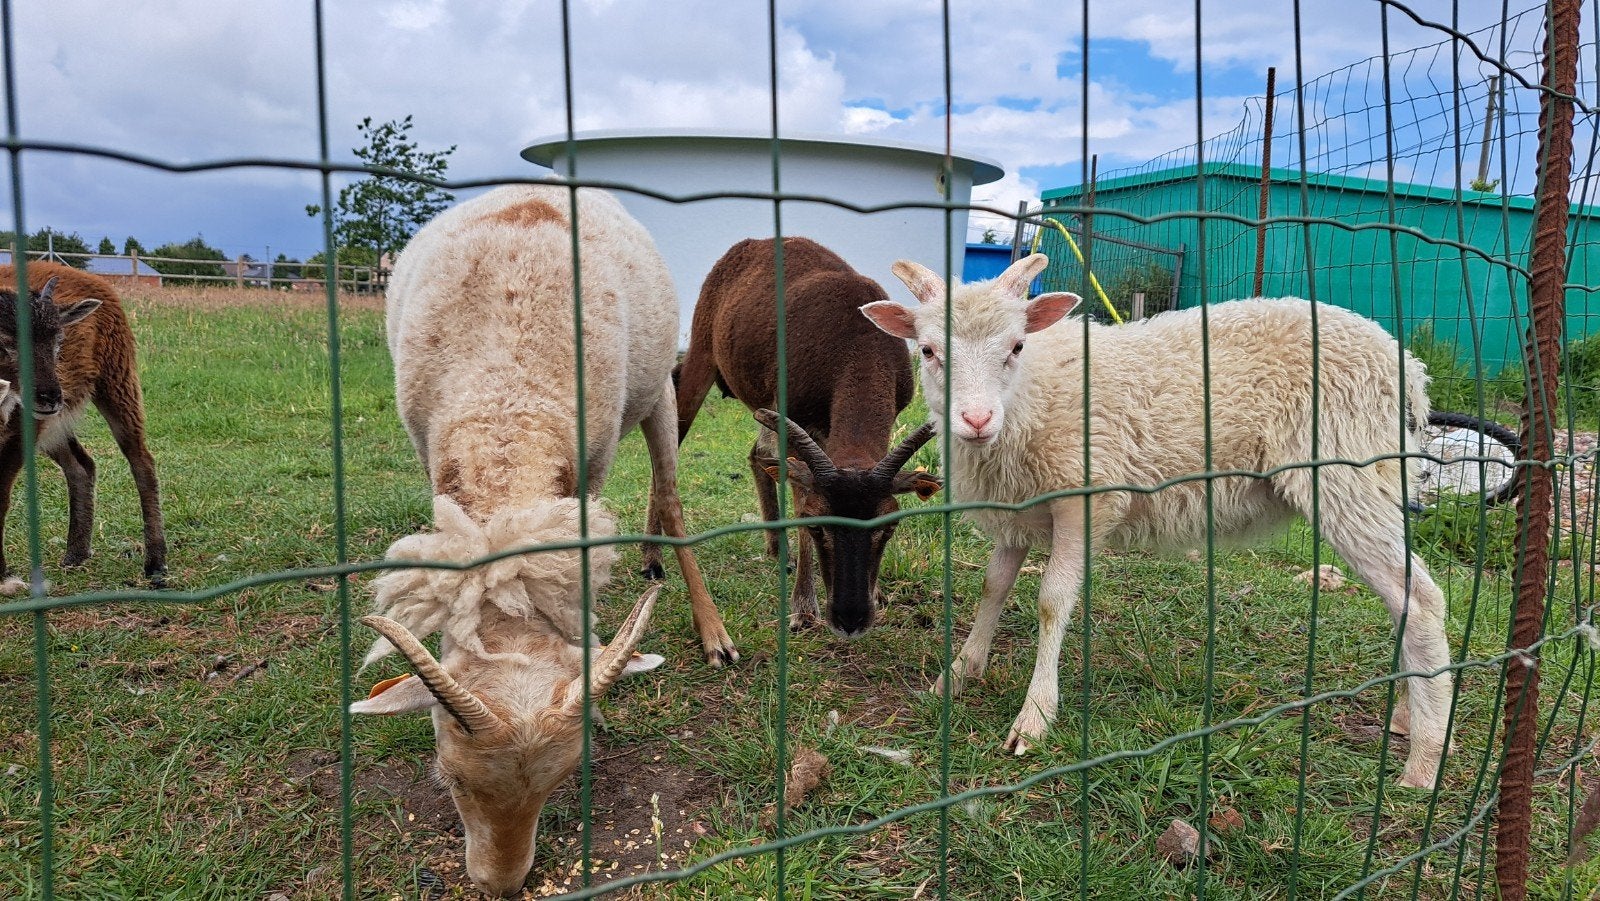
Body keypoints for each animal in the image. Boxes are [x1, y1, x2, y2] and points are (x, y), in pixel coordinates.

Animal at [0, 264, 166, 590]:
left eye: (58, 340)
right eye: (4, 341)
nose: (50, 396)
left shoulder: (19, 429)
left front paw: (4, 579)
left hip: (116, 379)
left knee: (142, 461)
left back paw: (155, 563)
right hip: (54, 424)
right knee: (81, 465)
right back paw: (75, 554)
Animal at [350, 183, 735, 897]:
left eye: (561, 783)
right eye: (450, 779)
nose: (500, 885)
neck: (506, 391)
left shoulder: (592, 460)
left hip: (657, 391)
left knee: (668, 494)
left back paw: (712, 630)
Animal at [655, 236, 942, 634]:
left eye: (890, 526)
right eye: (817, 522)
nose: (851, 618)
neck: (856, 344)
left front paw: (878, 593)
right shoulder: (798, 418)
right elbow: (799, 488)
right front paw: (804, 608)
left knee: (757, 454)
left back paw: (779, 549)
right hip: (702, 352)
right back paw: (651, 561)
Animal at [862, 252, 1453, 790]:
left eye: (1016, 347)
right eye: (929, 351)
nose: (976, 419)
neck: (1030, 398)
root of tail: (1406, 365)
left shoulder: (1086, 498)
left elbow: (1052, 601)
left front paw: (1034, 719)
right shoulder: (1019, 505)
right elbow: (994, 586)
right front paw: (959, 674)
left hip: (1347, 472)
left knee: (1420, 600)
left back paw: (1423, 760)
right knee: (1400, 598)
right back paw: (1407, 714)